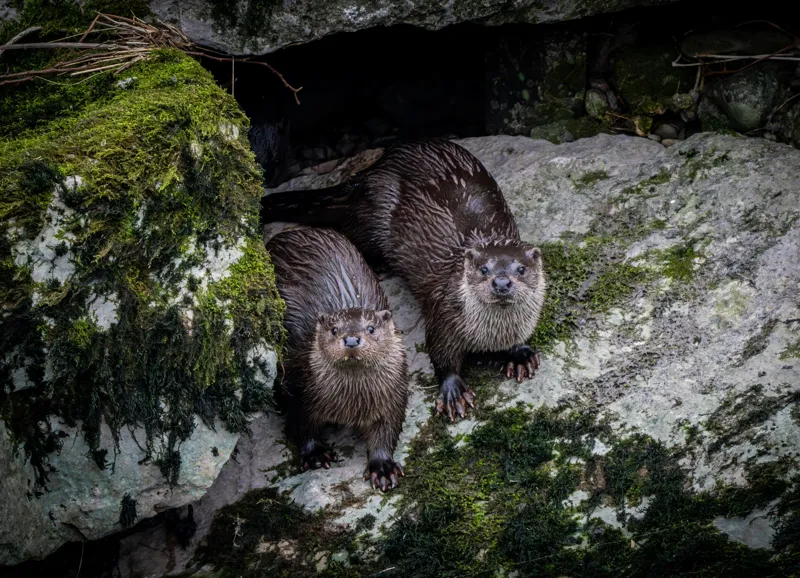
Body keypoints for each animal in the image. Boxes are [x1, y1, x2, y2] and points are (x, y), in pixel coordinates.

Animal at [261, 138, 546, 422]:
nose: (501, 283)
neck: (493, 333)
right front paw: (453, 391)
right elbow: (441, 352)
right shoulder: (445, 313)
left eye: (521, 269)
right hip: (375, 214)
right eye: (484, 269)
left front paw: (520, 354)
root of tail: (375, 168)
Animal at [265, 226, 408, 491]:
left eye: (371, 328)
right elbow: (301, 425)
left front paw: (382, 467)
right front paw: (315, 454)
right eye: (334, 329)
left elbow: (387, 430)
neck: (351, 404)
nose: (351, 340)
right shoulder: (302, 388)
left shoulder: (393, 395)